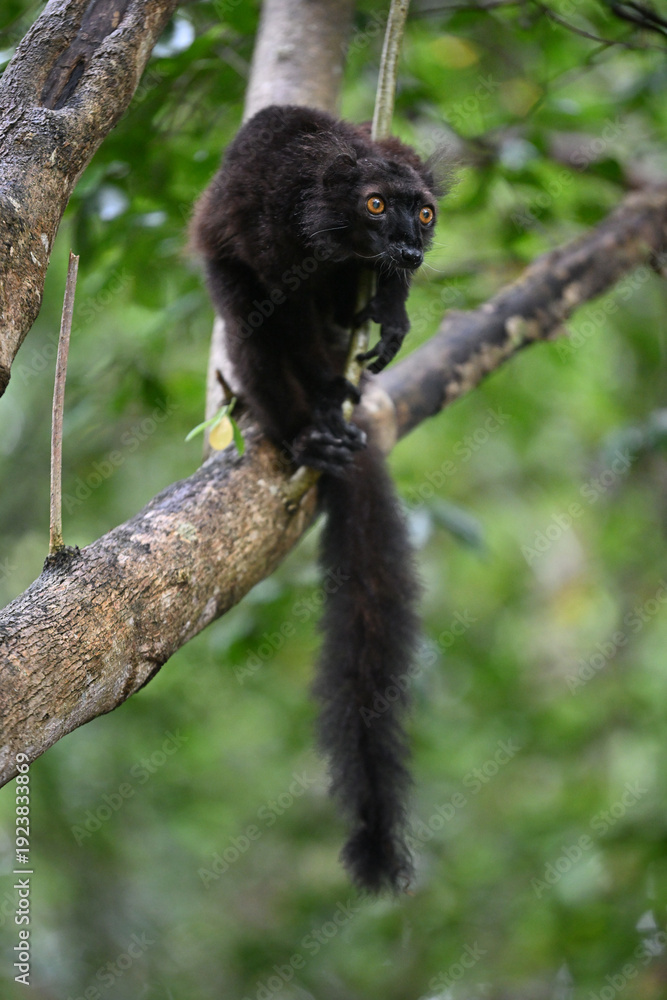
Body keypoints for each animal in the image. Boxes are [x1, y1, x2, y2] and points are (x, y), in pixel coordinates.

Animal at [190, 104, 439, 893]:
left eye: (423, 212)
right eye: (376, 206)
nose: (409, 245)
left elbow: (363, 287)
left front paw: (392, 308)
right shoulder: (277, 227)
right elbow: (276, 306)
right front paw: (321, 399)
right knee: (255, 323)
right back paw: (307, 428)